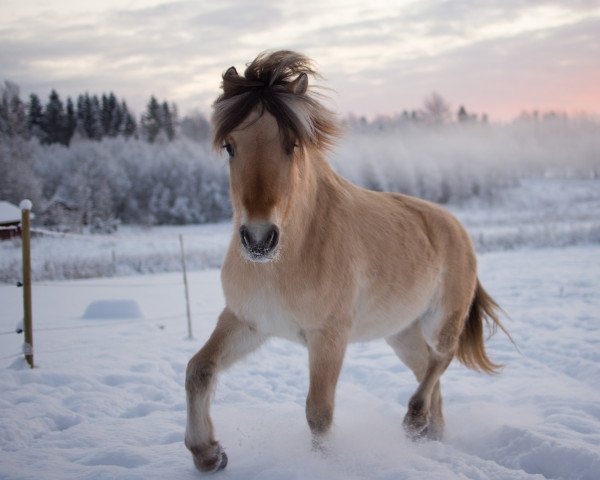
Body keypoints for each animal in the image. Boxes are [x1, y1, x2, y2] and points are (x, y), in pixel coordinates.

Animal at [184, 49, 510, 472]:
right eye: (230, 146)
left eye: (291, 144)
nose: (258, 239)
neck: (285, 261)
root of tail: (455, 226)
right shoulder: (247, 322)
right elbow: (198, 370)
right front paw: (208, 454)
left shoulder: (328, 337)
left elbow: (318, 414)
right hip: (401, 332)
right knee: (426, 368)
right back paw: (430, 434)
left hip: (442, 320)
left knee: (441, 358)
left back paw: (414, 419)